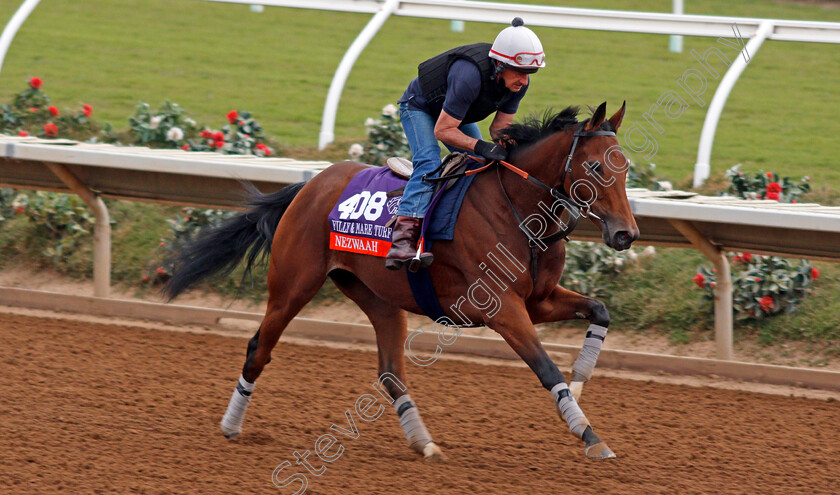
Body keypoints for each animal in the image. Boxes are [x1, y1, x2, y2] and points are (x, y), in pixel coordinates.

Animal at [162, 102, 636, 464]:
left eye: (626, 166)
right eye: (595, 165)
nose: (625, 234)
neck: (517, 210)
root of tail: (310, 185)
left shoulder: (538, 300)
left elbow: (600, 311)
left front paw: (581, 381)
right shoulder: (501, 307)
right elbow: (545, 367)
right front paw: (590, 435)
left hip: (378, 298)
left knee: (391, 374)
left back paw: (424, 443)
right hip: (292, 286)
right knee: (259, 347)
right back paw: (231, 425)